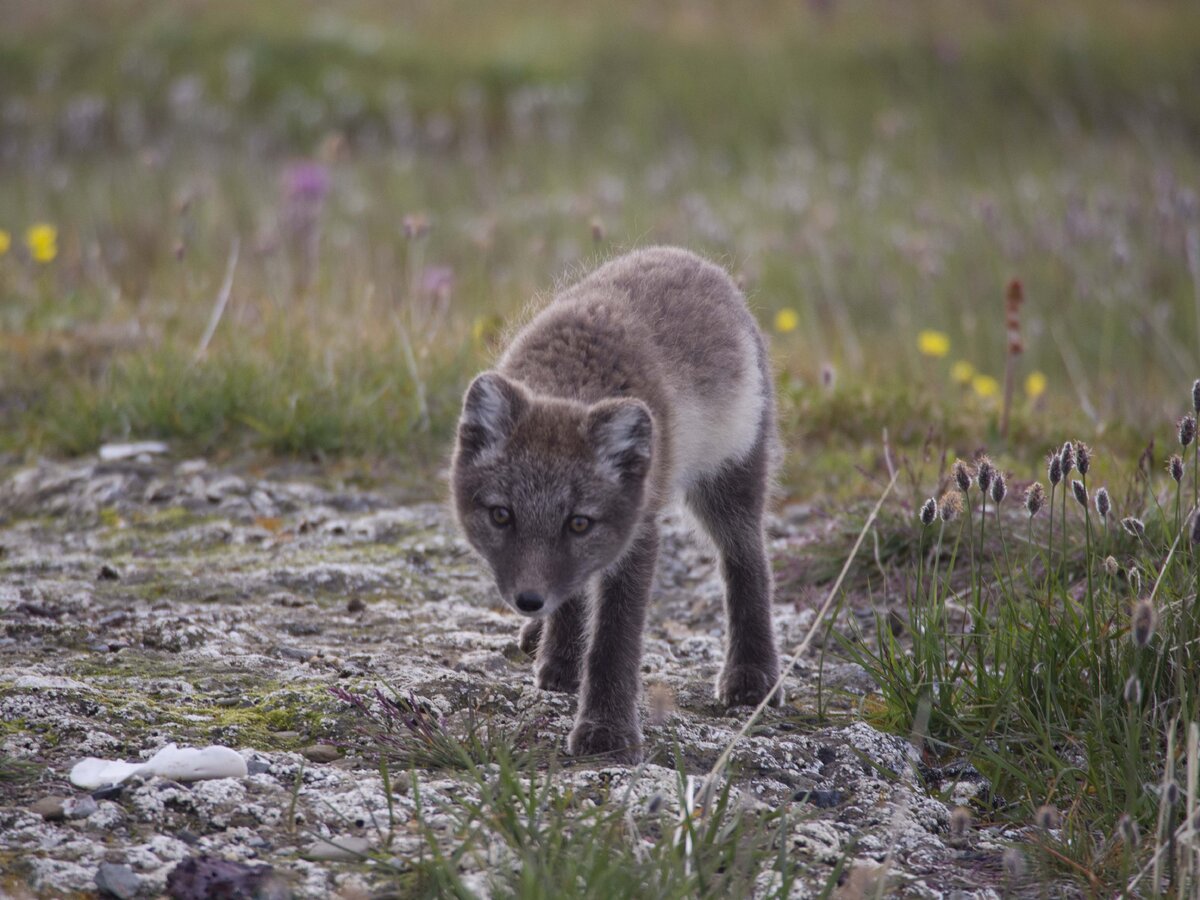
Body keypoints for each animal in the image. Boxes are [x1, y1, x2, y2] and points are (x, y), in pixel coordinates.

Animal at [451, 248, 777, 768]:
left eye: (579, 523)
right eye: (502, 515)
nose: (528, 600)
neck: (571, 384)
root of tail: (692, 258)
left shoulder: (638, 533)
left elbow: (614, 640)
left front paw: (606, 731)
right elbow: (573, 598)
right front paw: (561, 660)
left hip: (732, 478)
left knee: (748, 561)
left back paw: (752, 674)